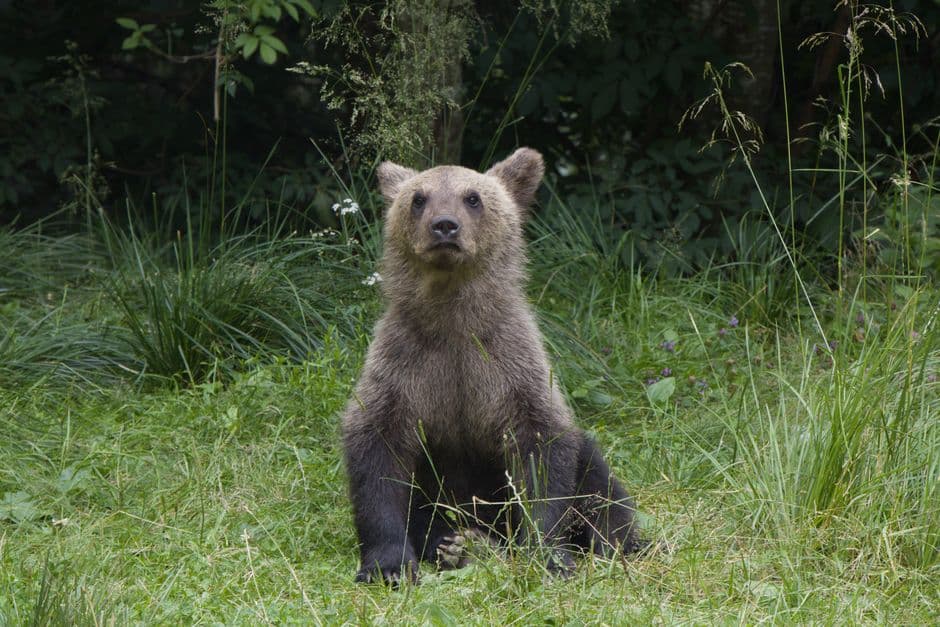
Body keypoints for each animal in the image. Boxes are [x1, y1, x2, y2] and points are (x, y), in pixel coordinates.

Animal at [341, 148, 643, 584]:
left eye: (473, 197)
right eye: (418, 198)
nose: (444, 226)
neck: (453, 322)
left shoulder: (509, 367)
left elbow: (542, 454)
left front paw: (549, 556)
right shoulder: (404, 366)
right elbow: (379, 456)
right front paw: (388, 566)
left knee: (597, 481)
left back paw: (616, 545)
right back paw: (460, 546)